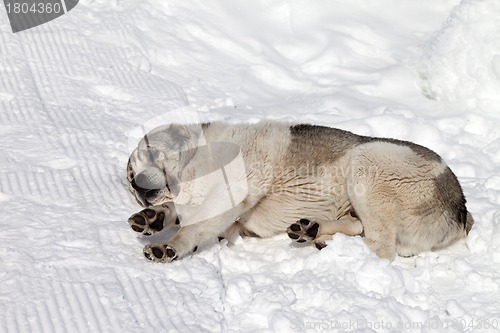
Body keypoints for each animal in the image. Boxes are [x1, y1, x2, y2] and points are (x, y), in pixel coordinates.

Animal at [127, 120, 474, 260]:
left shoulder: (230, 192)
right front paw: (154, 218)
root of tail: (462, 213)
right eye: (130, 178)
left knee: (382, 249)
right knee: (357, 227)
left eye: (154, 154)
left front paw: (167, 246)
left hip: (367, 160)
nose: (139, 187)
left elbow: (194, 226)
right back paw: (312, 231)